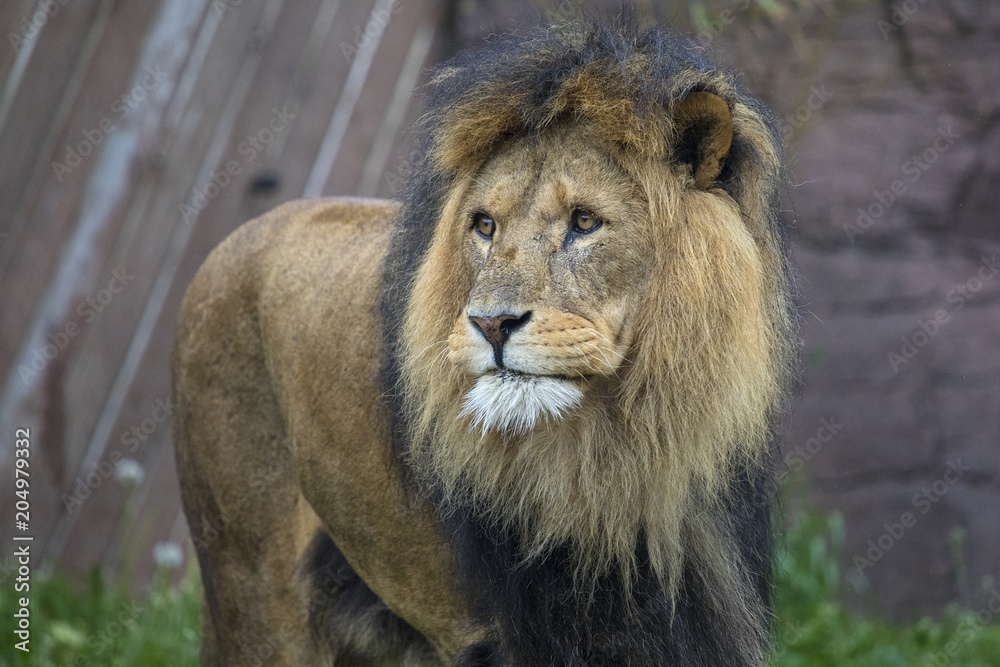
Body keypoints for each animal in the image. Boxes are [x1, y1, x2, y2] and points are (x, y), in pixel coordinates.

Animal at [173, 21, 795, 667]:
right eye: (485, 226)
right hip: (252, 583)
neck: (623, 463)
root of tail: (241, 235)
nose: (492, 323)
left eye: (584, 222)